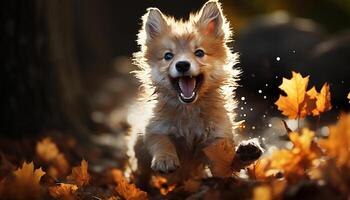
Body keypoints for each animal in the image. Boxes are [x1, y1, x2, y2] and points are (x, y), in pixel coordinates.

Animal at [127, 0, 262, 187]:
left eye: (199, 53)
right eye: (168, 56)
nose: (182, 65)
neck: (189, 111)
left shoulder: (217, 139)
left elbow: (227, 164)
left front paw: (246, 153)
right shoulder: (153, 127)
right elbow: (161, 141)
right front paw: (165, 158)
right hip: (137, 146)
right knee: (139, 169)